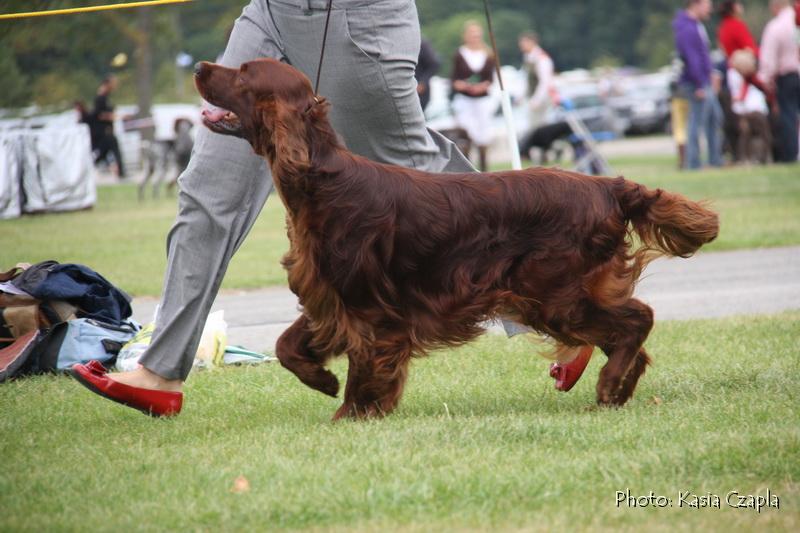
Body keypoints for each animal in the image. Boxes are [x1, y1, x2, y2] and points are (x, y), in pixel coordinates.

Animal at [194, 59, 720, 420]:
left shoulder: (369, 309)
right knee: (630, 332)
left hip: (555, 295)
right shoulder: (329, 296)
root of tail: (609, 186)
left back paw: (610, 385)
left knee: (637, 320)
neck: (323, 180)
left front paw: (351, 415)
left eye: (243, 74)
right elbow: (285, 345)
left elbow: (364, 372)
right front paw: (322, 379)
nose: (200, 67)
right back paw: (619, 390)